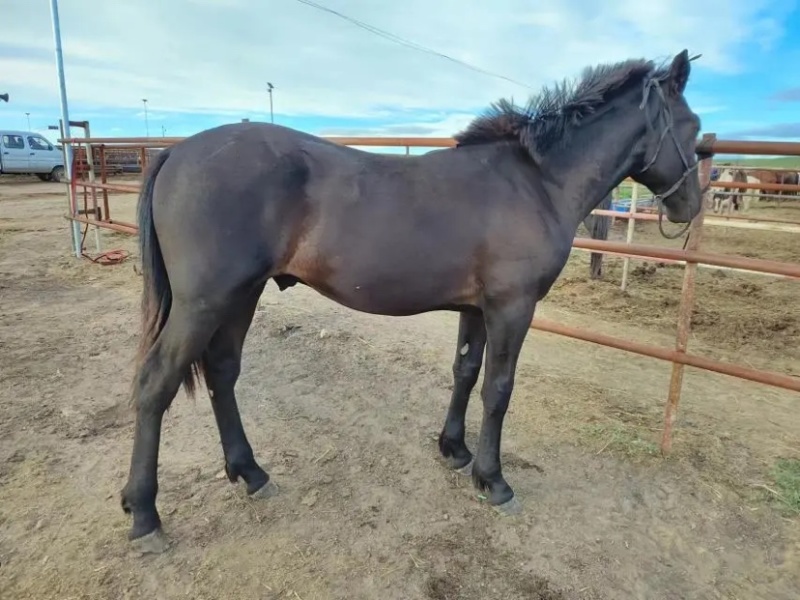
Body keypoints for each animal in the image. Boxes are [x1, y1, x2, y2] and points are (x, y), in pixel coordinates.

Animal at [119, 50, 704, 553]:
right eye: (695, 128)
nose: (689, 208)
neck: (535, 182)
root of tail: (176, 152)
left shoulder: (476, 309)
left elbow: (465, 372)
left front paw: (455, 450)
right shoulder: (512, 307)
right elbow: (498, 389)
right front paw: (493, 480)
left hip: (241, 295)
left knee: (221, 371)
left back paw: (251, 473)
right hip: (205, 301)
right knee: (155, 384)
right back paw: (145, 516)